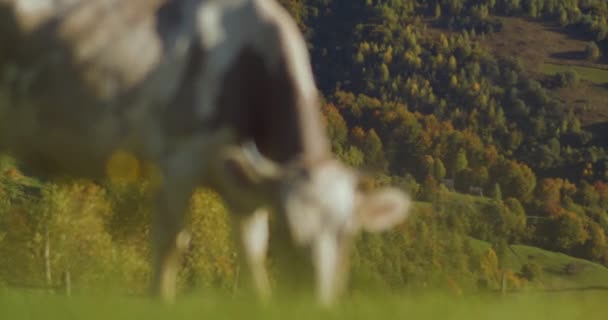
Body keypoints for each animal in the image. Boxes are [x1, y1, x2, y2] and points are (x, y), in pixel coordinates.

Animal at [0, 0, 414, 304]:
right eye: (289, 231)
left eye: (348, 233)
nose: (314, 300)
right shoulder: (177, 159)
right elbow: (170, 242)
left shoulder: (244, 189)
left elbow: (252, 254)